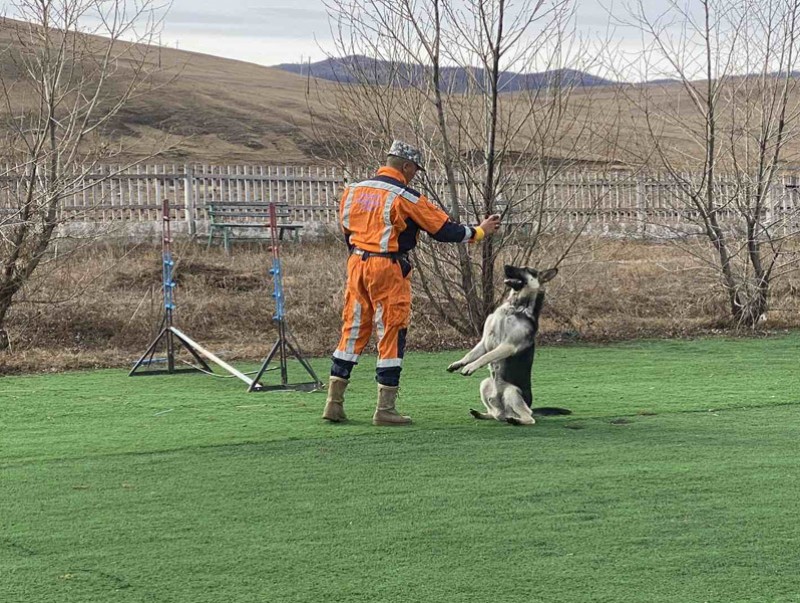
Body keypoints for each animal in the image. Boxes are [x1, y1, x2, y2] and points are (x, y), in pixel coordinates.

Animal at [444, 264, 568, 424]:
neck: (515, 307)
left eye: (527, 269)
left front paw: (470, 367)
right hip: (485, 384)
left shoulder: (508, 345)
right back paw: (483, 414)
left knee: (529, 418)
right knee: (495, 414)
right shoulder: (485, 341)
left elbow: (486, 356)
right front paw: (459, 363)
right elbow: (471, 354)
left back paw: (516, 420)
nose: (505, 266)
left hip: (511, 391)